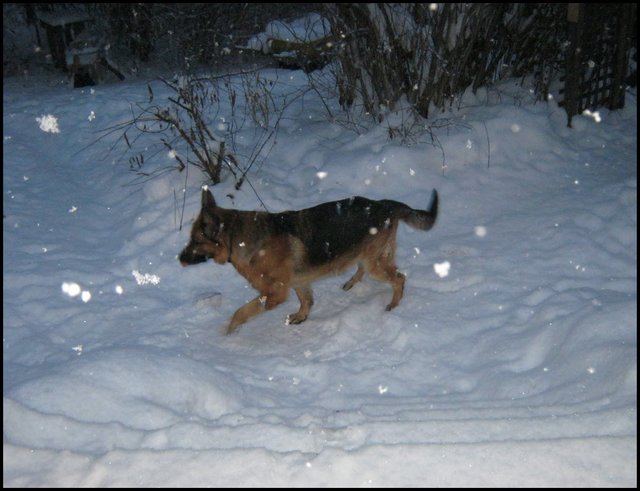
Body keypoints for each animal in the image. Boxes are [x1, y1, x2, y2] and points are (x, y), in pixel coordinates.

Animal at [180, 188, 440, 334]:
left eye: (195, 240)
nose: (179, 258)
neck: (238, 239)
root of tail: (385, 204)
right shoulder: (298, 282)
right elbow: (306, 302)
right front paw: (300, 317)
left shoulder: (275, 293)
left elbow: (242, 311)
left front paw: (230, 332)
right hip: (371, 257)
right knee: (369, 269)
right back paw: (351, 282)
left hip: (374, 263)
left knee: (399, 278)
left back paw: (394, 304)